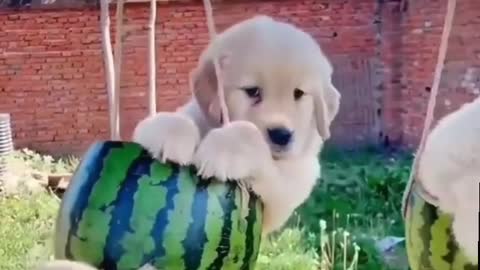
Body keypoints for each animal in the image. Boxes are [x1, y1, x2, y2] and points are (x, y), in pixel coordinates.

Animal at [133, 15, 340, 234]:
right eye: (253, 91)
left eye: (299, 93)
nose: (281, 135)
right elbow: (185, 116)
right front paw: (167, 129)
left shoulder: (287, 191)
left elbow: (250, 136)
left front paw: (225, 149)